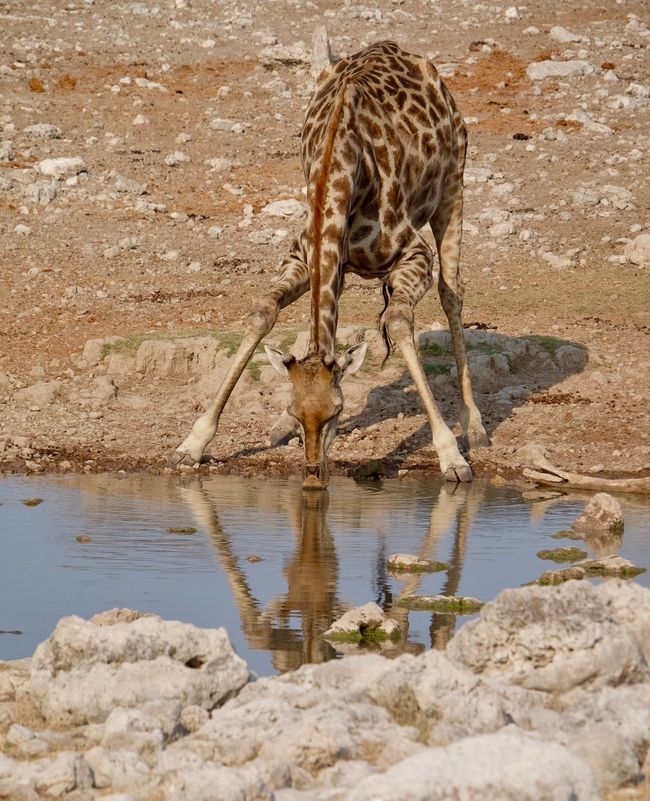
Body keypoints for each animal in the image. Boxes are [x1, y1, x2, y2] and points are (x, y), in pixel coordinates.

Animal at [172, 40, 486, 490]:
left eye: (337, 411)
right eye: (295, 409)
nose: (313, 476)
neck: (339, 174)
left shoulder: (414, 255)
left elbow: (397, 322)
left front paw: (451, 456)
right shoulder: (306, 257)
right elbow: (263, 312)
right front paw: (193, 443)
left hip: (454, 185)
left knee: (452, 293)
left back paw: (474, 426)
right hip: (340, 265)